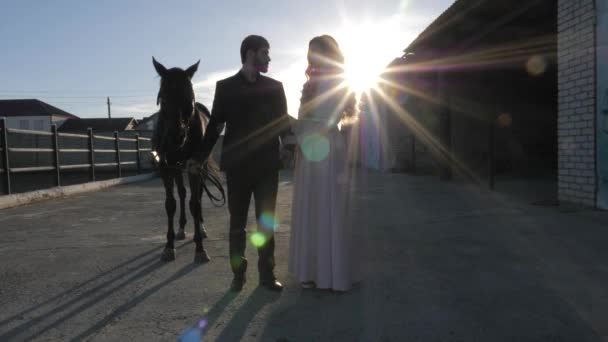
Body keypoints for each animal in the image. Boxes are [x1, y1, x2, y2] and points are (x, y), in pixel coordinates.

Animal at [151, 57, 222, 264]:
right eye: (163, 97)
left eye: (189, 96)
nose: (176, 137)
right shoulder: (166, 168)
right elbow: (171, 204)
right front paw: (169, 246)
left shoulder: (194, 168)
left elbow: (195, 204)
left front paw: (200, 248)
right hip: (177, 169)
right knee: (182, 194)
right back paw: (181, 229)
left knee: (196, 196)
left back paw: (202, 228)